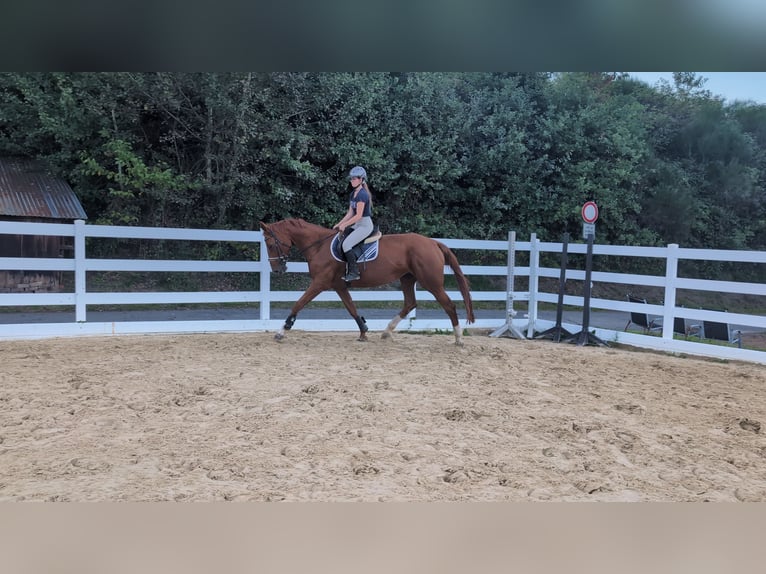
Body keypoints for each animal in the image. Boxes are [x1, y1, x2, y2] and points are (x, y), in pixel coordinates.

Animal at [259, 218, 475, 345]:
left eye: (270, 243)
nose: (277, 269)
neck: (319, 246)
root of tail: (433, 242)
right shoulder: (338, 286)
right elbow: (351, 308)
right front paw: (363, 331)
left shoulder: (320, 283)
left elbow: (298, 303)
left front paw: (281, 331)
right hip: (407, 279)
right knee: (410, 303)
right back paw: (387, 332)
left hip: (431, 283)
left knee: (448, 304)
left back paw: (458, 338)